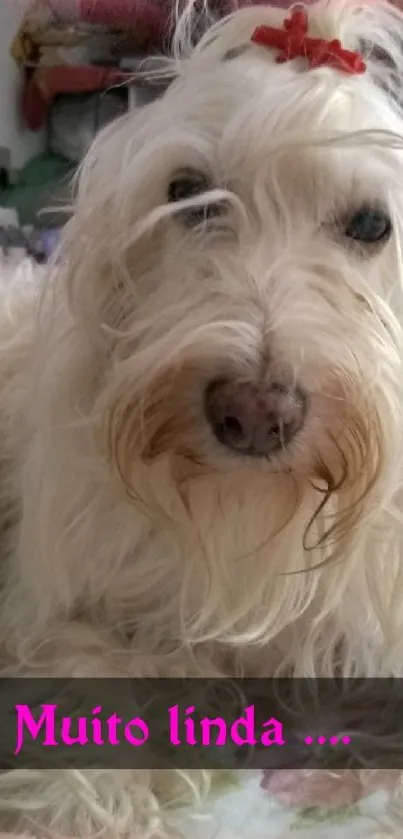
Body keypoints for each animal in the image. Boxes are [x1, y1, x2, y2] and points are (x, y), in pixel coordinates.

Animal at [0, 0, 403, 832]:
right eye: (191, 192)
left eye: (369, 225)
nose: (253, 411)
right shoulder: (53, 607)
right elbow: (86, 673)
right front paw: (79, 806)